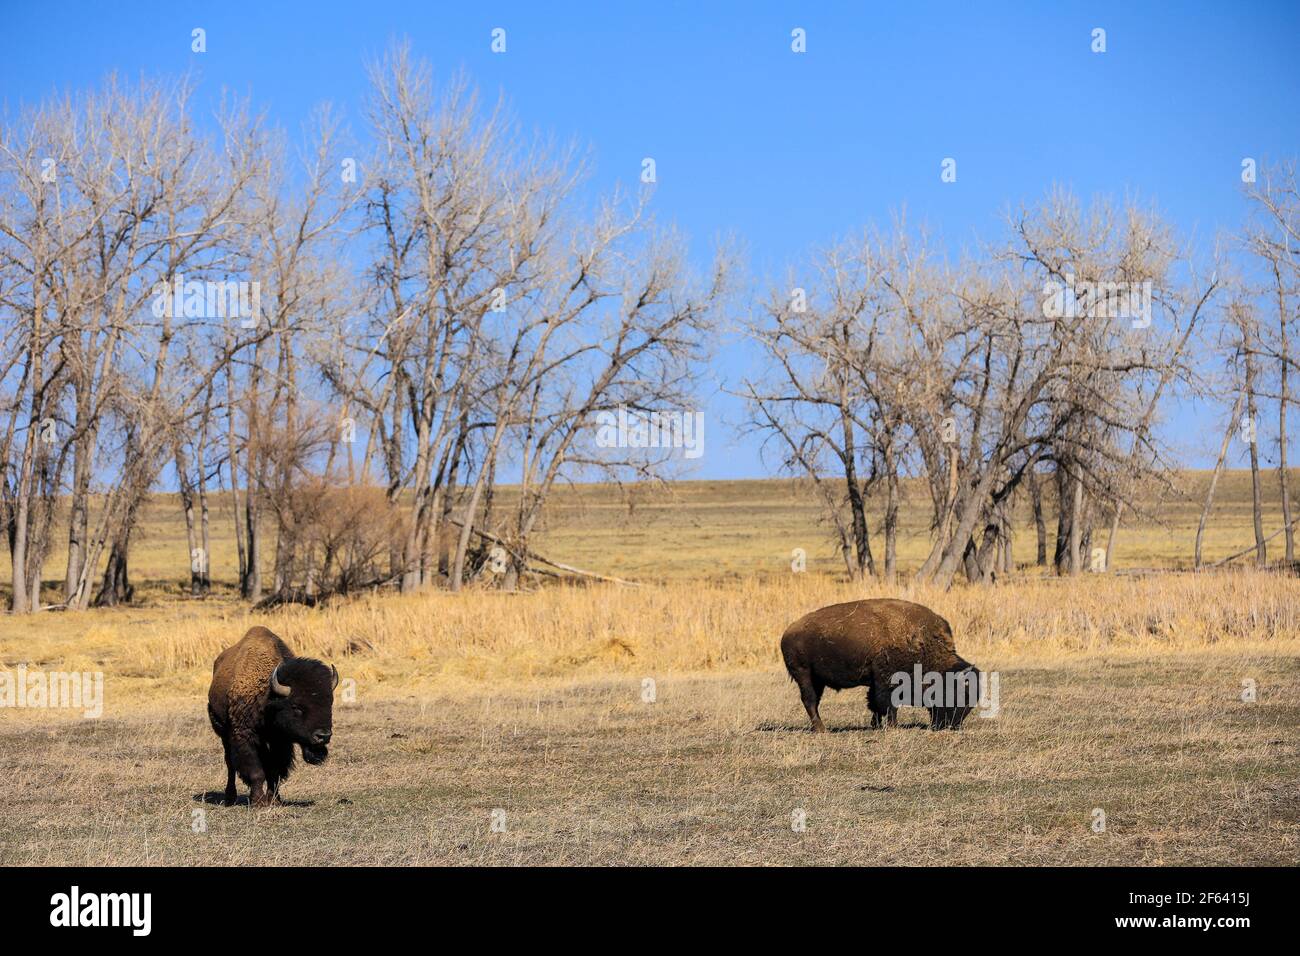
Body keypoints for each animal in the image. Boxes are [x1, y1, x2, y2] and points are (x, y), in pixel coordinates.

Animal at [207, 626, 338, 807]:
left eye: (329, 703)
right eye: (296, 706)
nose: (323, 736)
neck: (269, 697)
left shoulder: (280, 741)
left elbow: (274, 770)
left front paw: (275, 800)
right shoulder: (245, 737)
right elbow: (256, 771)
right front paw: (258, 802)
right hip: (223, 733)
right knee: (230, 764)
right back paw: (230, 797)